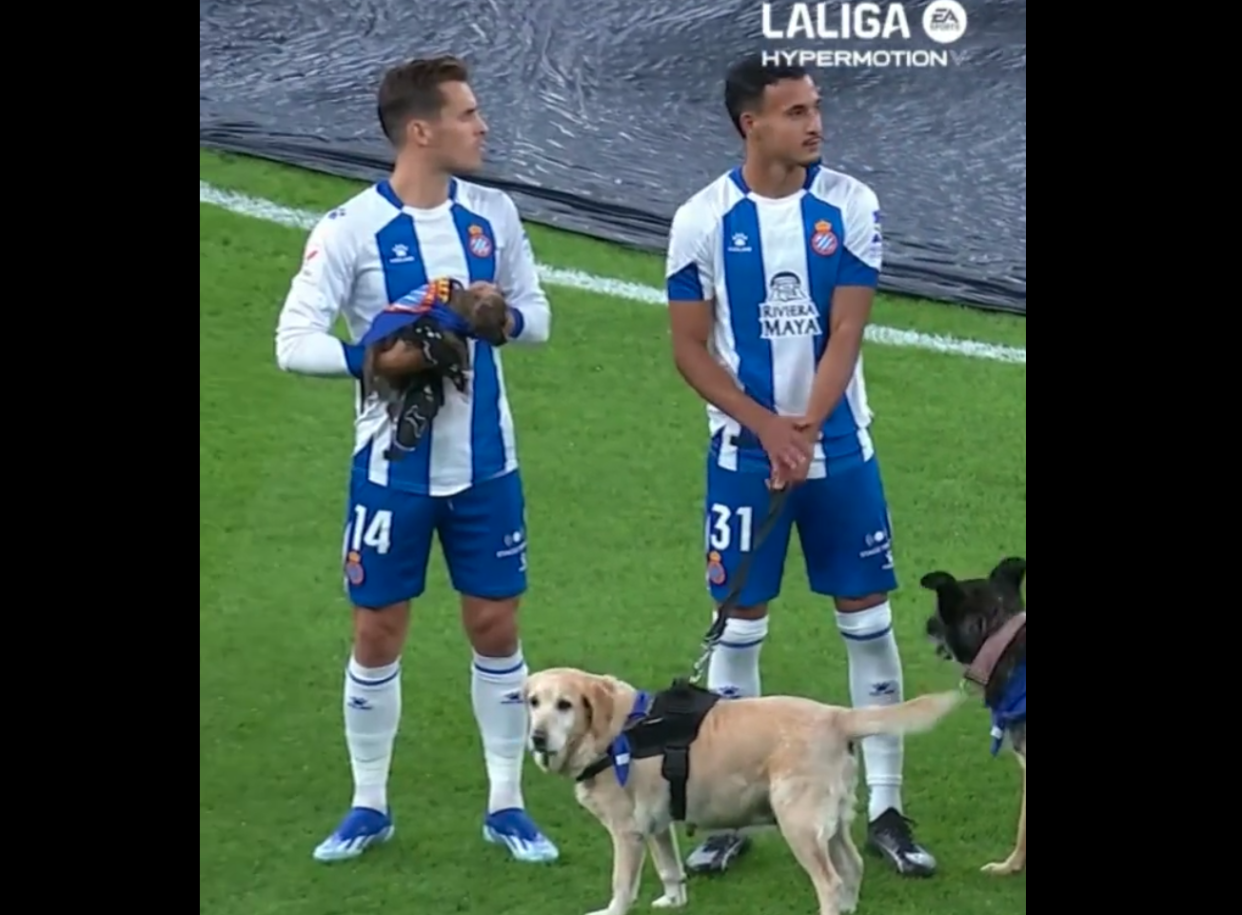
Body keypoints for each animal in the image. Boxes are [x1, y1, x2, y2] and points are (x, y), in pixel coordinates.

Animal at [524, 665, 958, 913]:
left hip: (798, 823)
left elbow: (621, 886)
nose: (537, 738)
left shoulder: (627, 831)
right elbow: (669, 868)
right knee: (852, 868)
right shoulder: (657, 825)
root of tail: (836, 716)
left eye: (564, 704)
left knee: (831, 883)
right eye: (532, 702)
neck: (618, 730)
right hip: (832, 821)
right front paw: (673, 901)